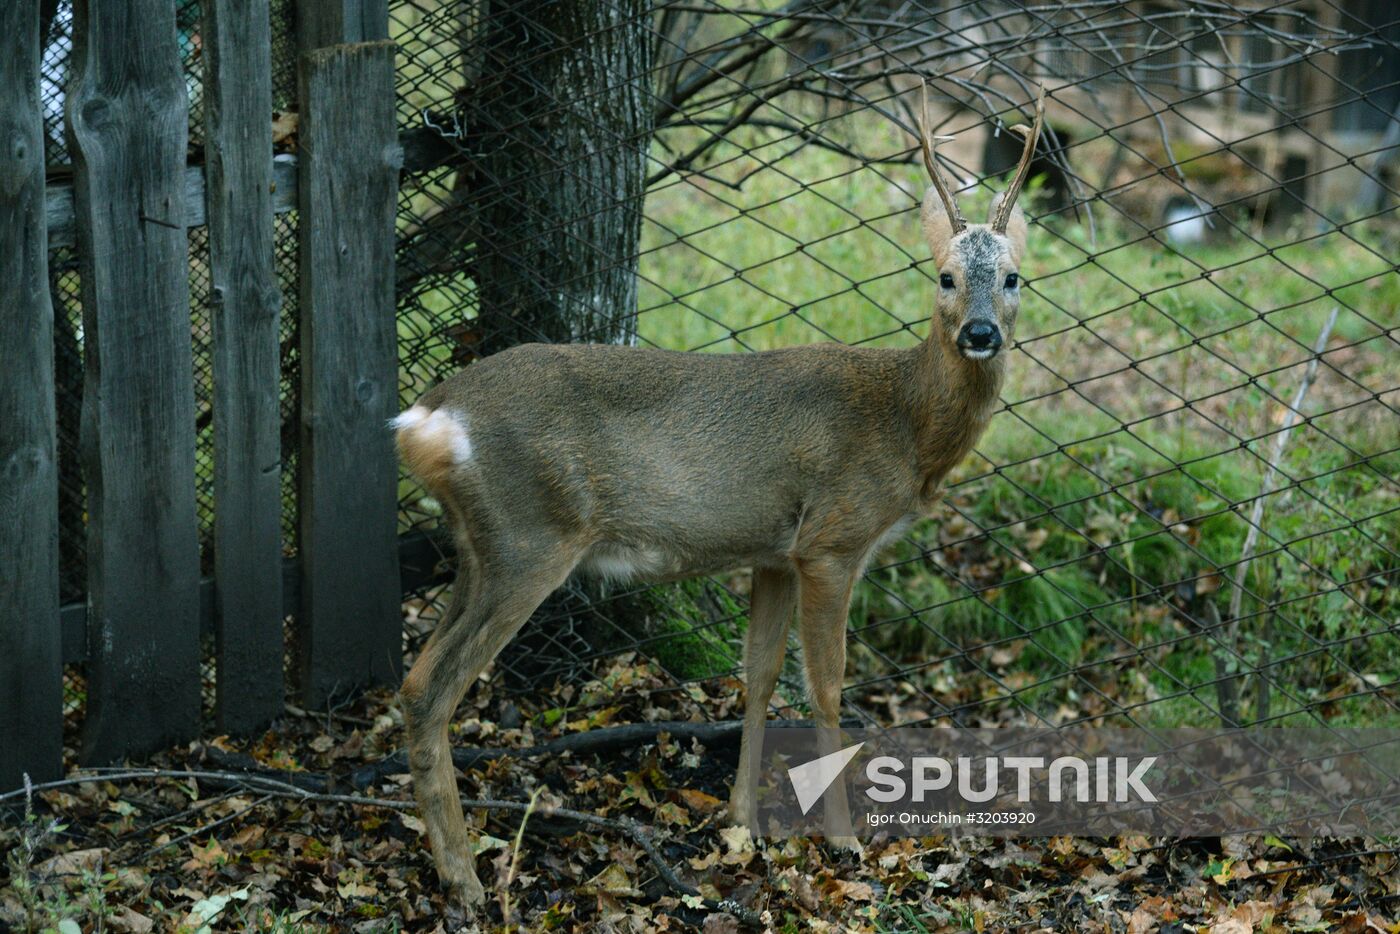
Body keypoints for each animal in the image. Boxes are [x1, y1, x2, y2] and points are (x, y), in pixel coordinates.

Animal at [392, 89, 1041, 907]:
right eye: (947, 277)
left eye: (1014, 277)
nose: (982, 333)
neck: (904, 424)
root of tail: (427, 418)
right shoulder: (832, 538)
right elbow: (825, 689)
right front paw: (843, 839)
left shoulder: (774, 552)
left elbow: (757, 678)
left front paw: (740, 821)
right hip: (529, 539)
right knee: (430, 688)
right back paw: (464, 876)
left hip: (481, 546)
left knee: (415, 677)